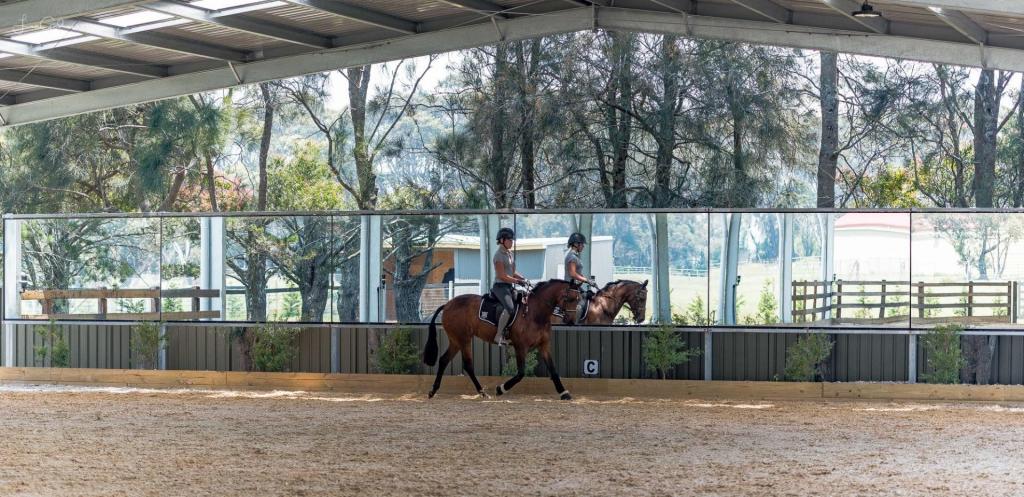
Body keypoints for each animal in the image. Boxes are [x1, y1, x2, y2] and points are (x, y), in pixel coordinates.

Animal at [423, 278, 581, 399]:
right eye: (569, 298)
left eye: (578, 300)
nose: (571, 321)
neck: (535, 313)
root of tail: (447, 304)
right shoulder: (520, 347)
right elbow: (520, 374)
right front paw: (500, 389)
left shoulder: (544, 346)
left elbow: (553, 371)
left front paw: (564, 393)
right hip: (463, 339)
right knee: (468, 365)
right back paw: (482, 392)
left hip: (456, 341)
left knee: (444, 360)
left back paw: (433, 391)